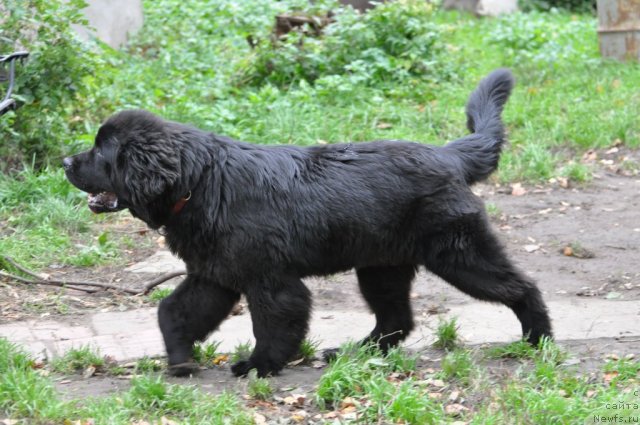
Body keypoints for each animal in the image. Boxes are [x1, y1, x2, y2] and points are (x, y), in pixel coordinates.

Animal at [66, 69, 556, 378]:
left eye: (101, 152)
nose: (66, 162)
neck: (199, 181)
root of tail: (449, 154)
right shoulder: (213, 275)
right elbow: (172, 311)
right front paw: (180, 362)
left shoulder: (269, 280)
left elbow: (272, 325)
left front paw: (258, 367)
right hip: (381, 265)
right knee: (396, 319)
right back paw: (355, 353)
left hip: (457, 252)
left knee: (521, 287)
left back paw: (539, 339)